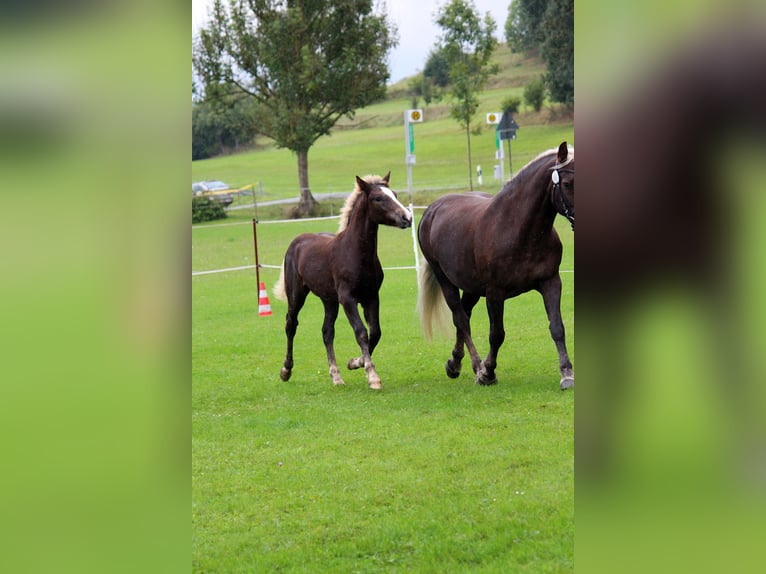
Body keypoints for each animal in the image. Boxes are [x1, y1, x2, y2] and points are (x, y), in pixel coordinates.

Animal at [273, 173, 412, 389]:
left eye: (395, 194)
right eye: (378, 198)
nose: (407, 217)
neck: (357, 253)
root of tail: (297, 242)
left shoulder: (371, 297)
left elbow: (375, 333)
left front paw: (355, 362)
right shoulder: (348, 298)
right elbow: (361, 332)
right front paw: (372, 376)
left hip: (329, 300)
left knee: (327, 331)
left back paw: (336, 376)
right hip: (297, 295)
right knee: (291, 324)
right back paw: (286, 370)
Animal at [417, 142, 574, 390]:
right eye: (567, 183)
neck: (519, 230)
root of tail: (433, 209)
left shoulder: (551, 282)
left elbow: (557, 327)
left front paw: (566, 373)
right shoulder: (494, 293)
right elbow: (496, 334)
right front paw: (488, 372)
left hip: (471, 287)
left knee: (465, 314)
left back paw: (455, 363)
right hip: (445, 279)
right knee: (461, 319)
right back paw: (476, 365)